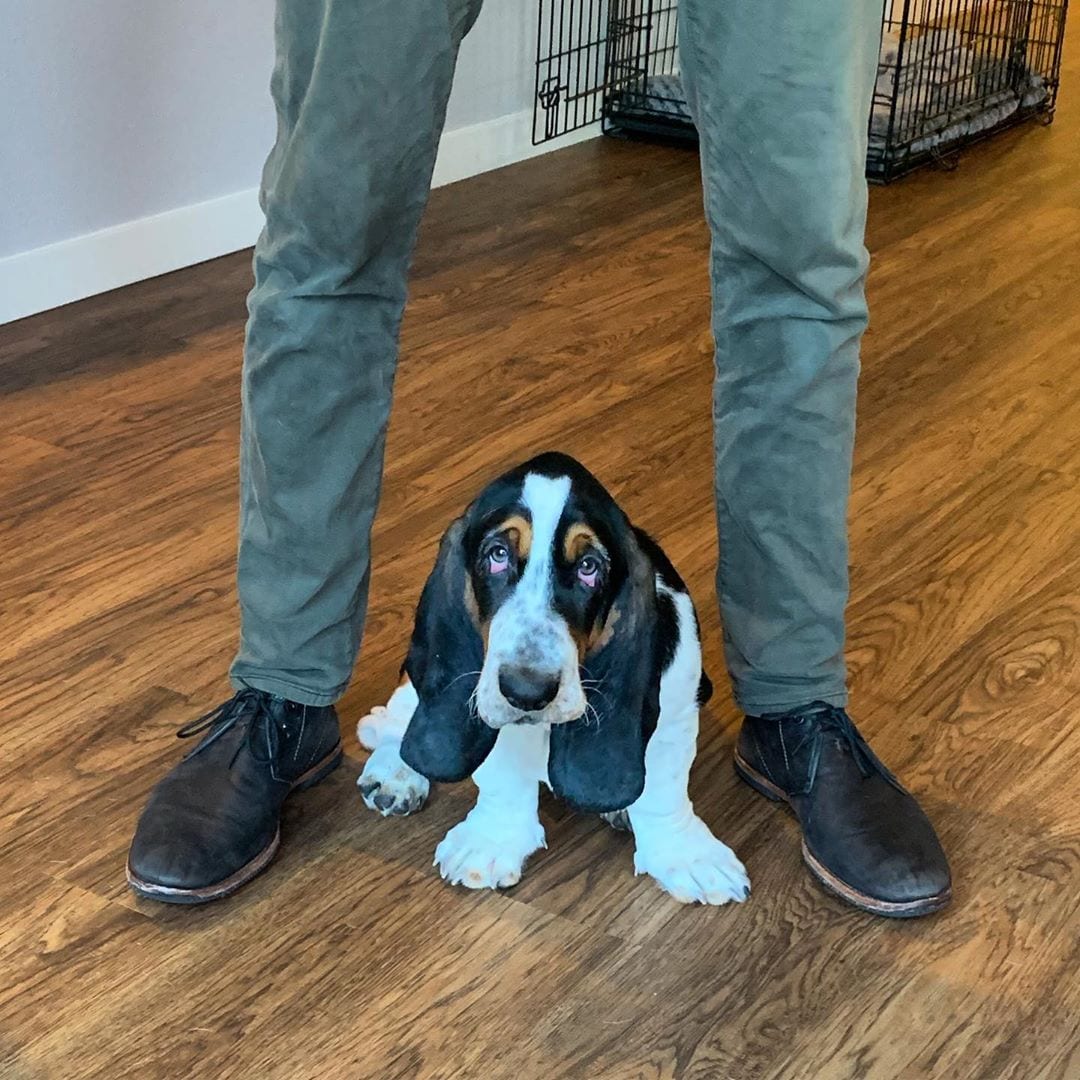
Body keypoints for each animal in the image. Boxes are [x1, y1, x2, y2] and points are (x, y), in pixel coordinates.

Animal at [358, 451, 747, 907]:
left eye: (589, 567)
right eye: (497, 554)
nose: (527, 691)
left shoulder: (676, 715)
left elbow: (664, 792)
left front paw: (689, 855)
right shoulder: (489, 704)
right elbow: (501, 774)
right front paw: (491, 842)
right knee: (400, 712)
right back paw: (395, 771)